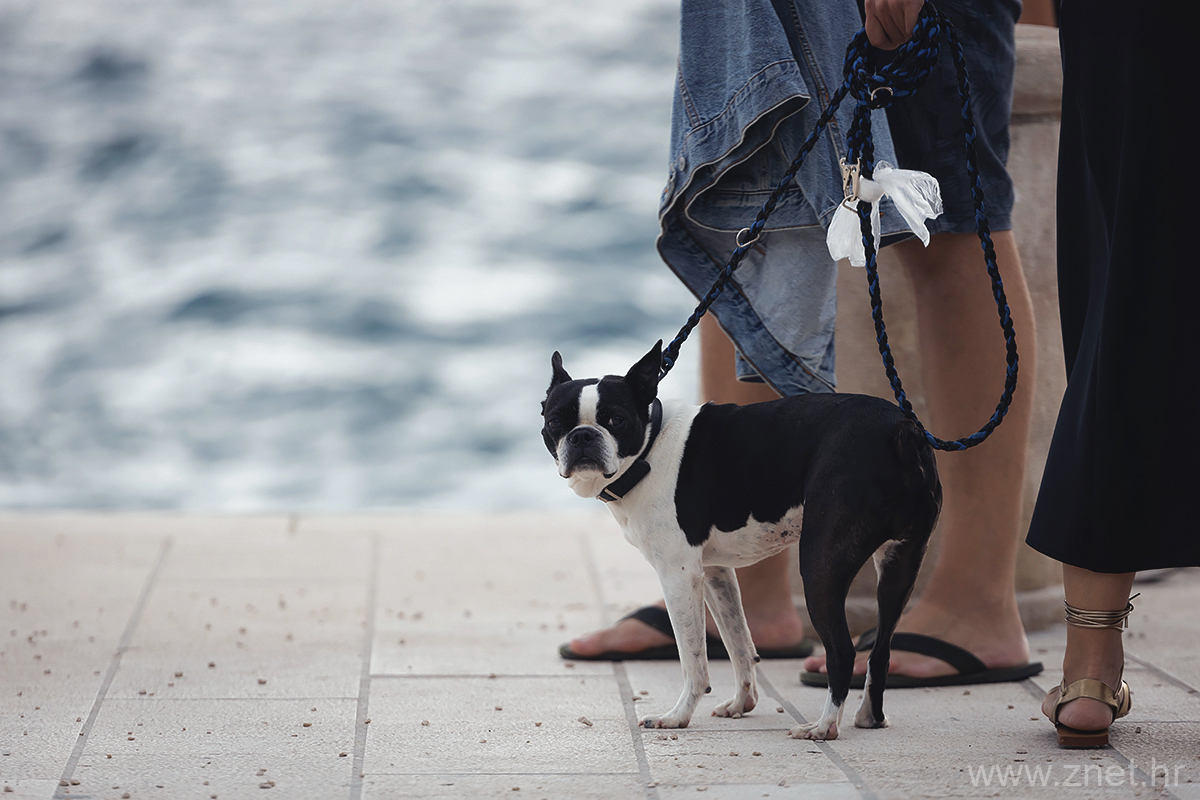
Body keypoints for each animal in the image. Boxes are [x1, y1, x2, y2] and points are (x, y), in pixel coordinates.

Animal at [541, 340, 942, 739]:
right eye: (556, 422)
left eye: (616, 420)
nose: (583, 435)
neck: (649, 448)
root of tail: (900, 431)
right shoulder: (715, 572)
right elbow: (739, 642)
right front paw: (741, 703)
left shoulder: (678, 576)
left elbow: (693, 659)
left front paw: (678, 716)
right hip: (901, 562)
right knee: (881, 649)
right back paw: (870, 717)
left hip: (820, 565)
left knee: (842, 651)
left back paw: (823, 726)